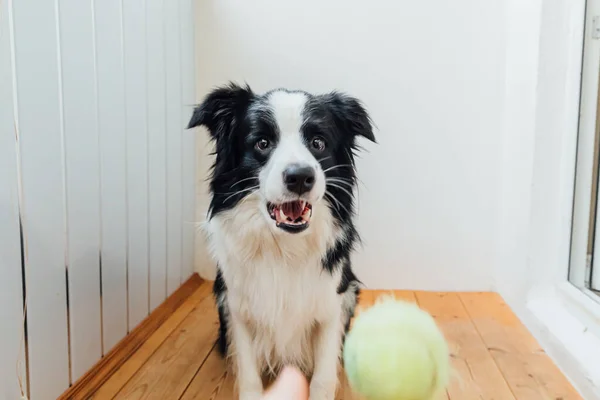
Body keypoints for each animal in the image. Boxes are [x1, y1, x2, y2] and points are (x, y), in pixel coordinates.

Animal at [188, 83, 376, 398]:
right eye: (262, 143)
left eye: (318, 143)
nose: (300, 177)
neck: (284, 248)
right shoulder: (236, 306)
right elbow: (249, 375)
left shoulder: (331, 303)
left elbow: (323, 376)